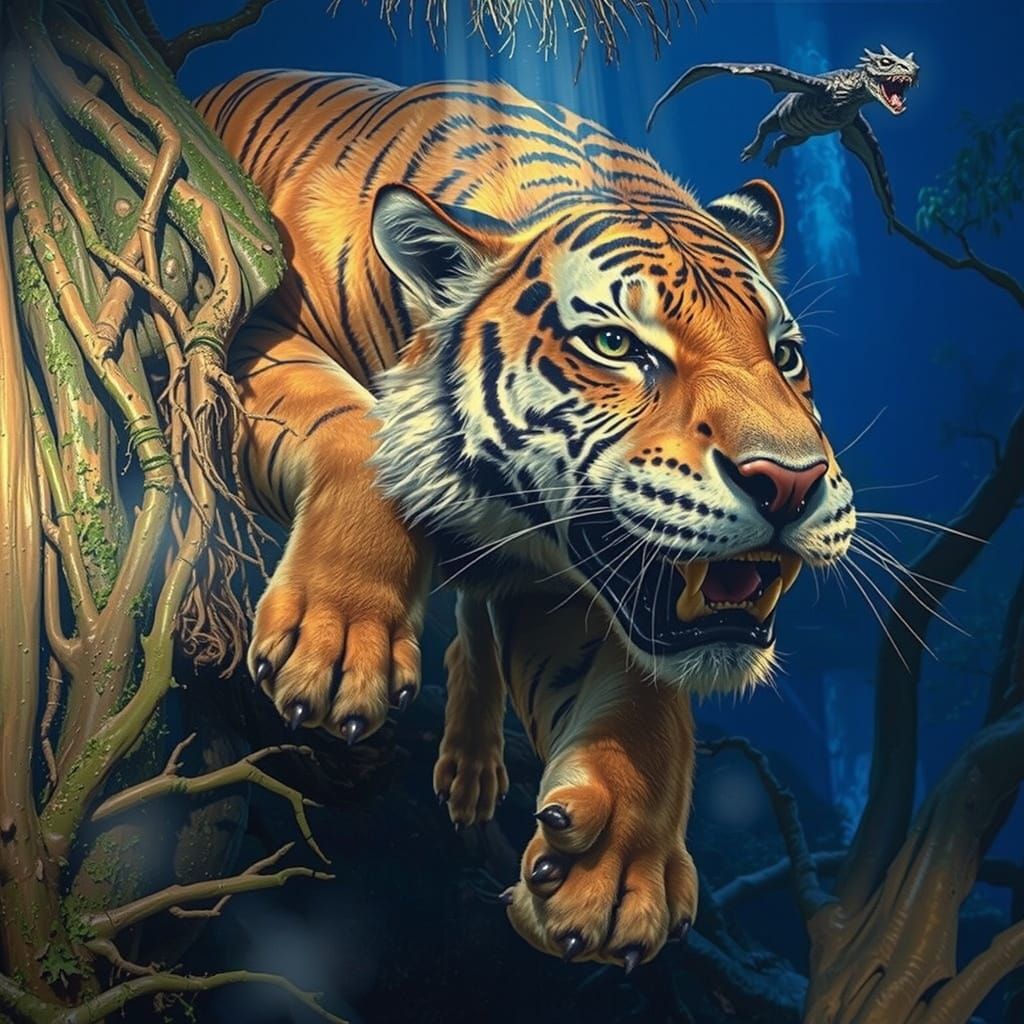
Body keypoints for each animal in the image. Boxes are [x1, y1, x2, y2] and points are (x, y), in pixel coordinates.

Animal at [197, 70, 856, 968]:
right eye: (617, 346)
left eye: (785, 356)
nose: (791, 483)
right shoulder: (257, 338)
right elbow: (351, 427)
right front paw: (333, 644)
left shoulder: (561, 591)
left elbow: (648, 702)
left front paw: (615, 873)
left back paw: (473, 774)